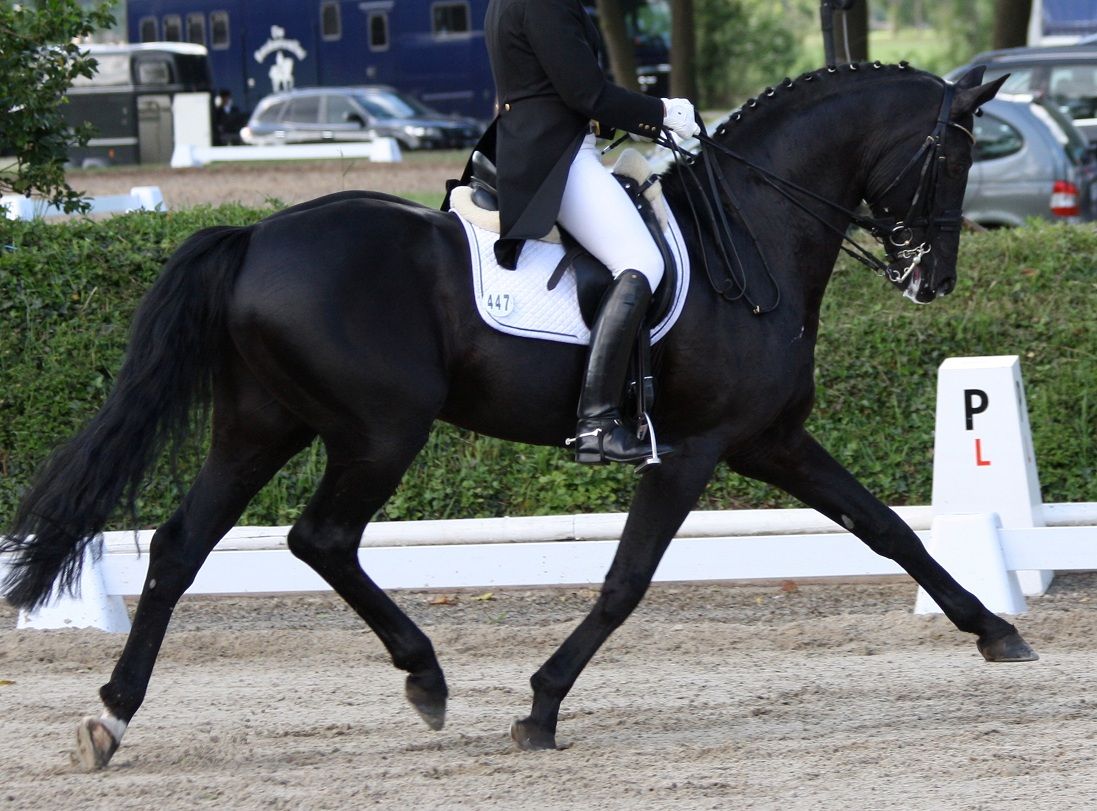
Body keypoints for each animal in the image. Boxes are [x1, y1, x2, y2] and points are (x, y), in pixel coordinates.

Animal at [2, 63, 1035, 768]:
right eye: (953, 155)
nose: (930, 279)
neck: (751, 228)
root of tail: (256, 234)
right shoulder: (691, 450)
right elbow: (624, 582)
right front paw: (539, 707)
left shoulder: (769, 439)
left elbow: (886, 527)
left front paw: (994, 630)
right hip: (379, 429)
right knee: (320, 537)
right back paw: (424, 675)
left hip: (263, 423)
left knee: (183, 545)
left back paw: (112, 716)